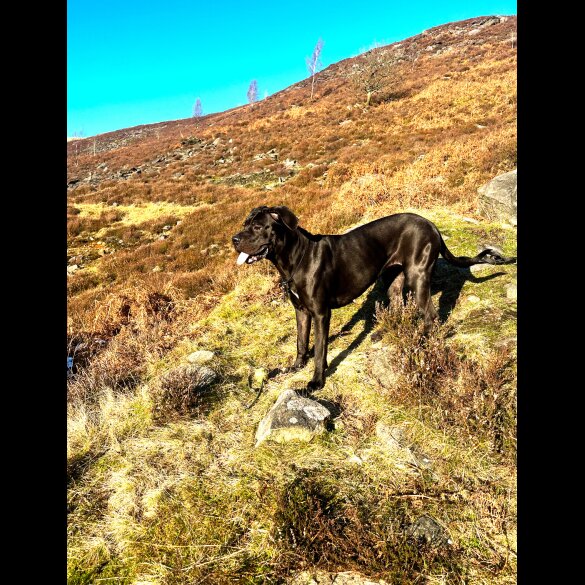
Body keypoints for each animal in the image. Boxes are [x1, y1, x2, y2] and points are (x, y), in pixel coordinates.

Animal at [230, 208, 512, 390]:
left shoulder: (321, 313)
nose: (234, 239)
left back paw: (422, 343)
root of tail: (432, 225)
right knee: (398, 307)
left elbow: (320, 350)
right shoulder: (301, 310)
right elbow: (301, 342)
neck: (295, 258)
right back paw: (384, 334)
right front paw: (296, 366)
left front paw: (316, 382)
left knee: (430, 316)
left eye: (258, 227)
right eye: (244, 223)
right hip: (394, 280)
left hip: (418, 276)